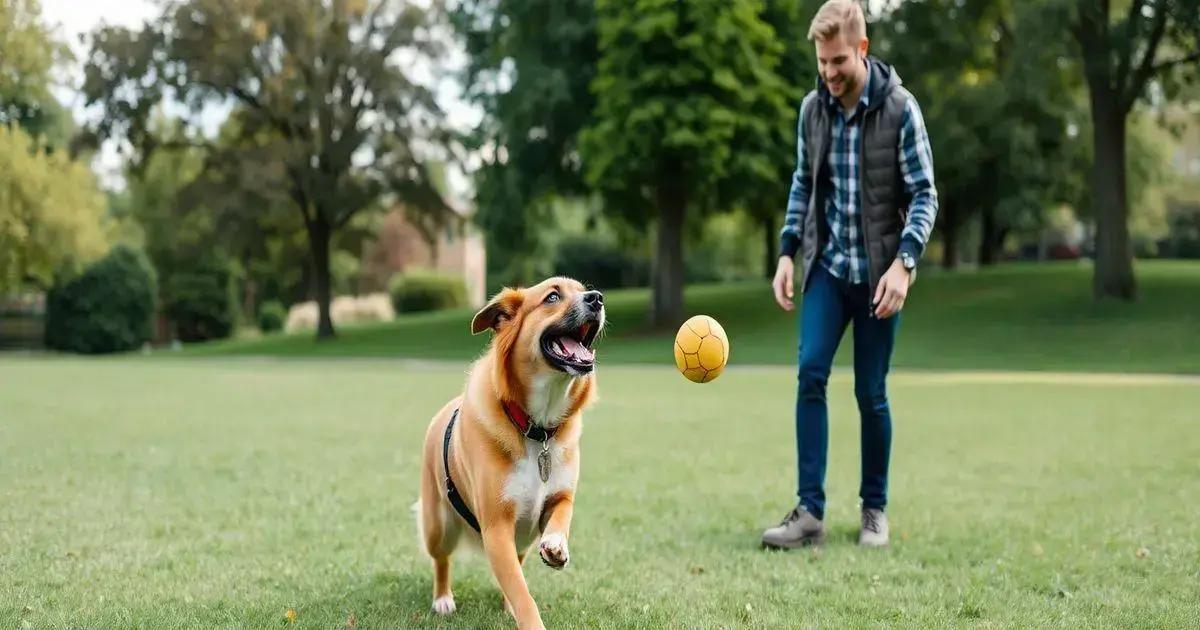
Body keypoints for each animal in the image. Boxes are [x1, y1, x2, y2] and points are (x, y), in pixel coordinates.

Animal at [417, 277, 604, 624]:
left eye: (584, 289)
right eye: (553, 297)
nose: (597, 298)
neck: (536, 428)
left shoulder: (559, 497)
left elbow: (562, 512)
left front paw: (557, 544)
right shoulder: (497, 528)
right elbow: (522, 593)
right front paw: (530, 621)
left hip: (523, 538)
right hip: (439, 526)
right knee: (441, 561)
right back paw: (443, 598)